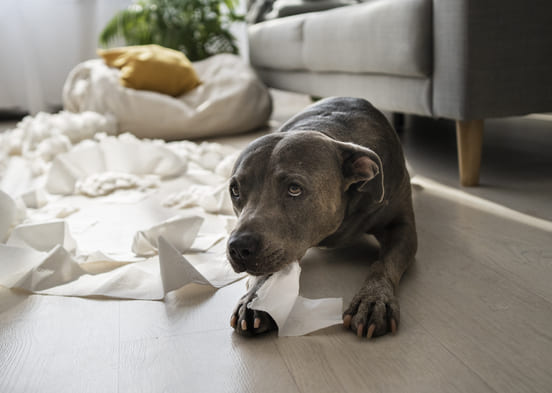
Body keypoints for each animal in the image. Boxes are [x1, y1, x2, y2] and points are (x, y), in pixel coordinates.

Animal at [225, 97, 414, 336]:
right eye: (235, 190)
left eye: (294, 189)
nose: (239, 247)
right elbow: (268, 272)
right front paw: (255, 299)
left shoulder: (402, 227)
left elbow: (384, 264)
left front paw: (373, 299)